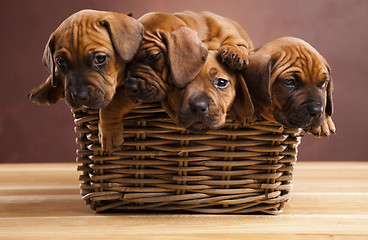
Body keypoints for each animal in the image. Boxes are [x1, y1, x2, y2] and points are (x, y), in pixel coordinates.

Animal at [27, 9, 144, 152]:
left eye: (100, 58)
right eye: (60, 62)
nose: (79, 95)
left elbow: (113, 103)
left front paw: (108, 132)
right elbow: (56, 75)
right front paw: (45, 88)